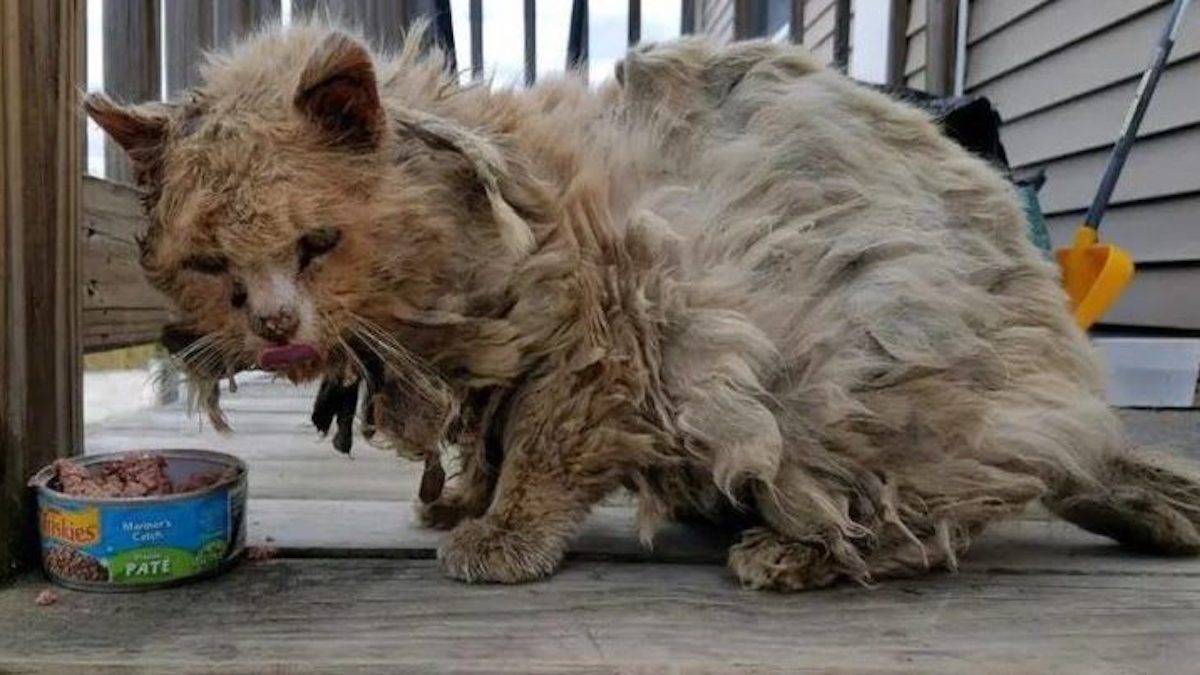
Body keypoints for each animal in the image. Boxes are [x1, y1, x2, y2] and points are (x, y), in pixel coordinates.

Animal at [88, 22, 1200, 588]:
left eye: (317, 245)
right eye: (210, 264)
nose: (275, 326)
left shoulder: (605, 342)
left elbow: (538, 457)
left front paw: (501, 541)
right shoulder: (513, 368)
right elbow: (490, 445)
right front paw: (469, 505)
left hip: (855, 373)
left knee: (934, 516)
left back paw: (790, 551)